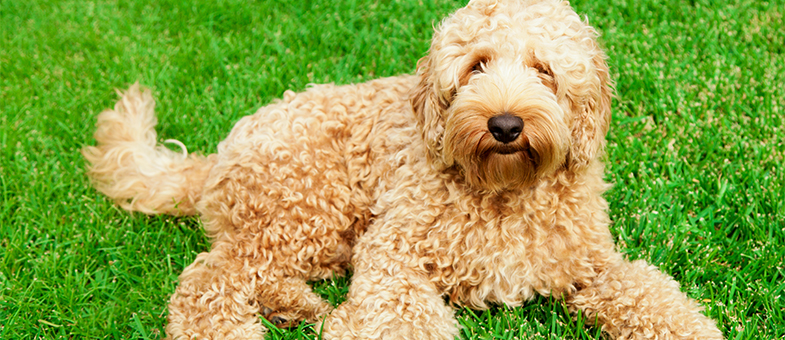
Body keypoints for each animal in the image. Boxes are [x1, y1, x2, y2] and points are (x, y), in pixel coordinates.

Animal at [81, 0, 724, 340]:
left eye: (544, 69)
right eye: (476, 65)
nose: (506, 124)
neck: (502, 192)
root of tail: (219, 153)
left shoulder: (591, 265)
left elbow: (649, 294)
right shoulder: (392, 249)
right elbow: (401, 312)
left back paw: (307, 310)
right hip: (308, 207)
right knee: (210, 279)